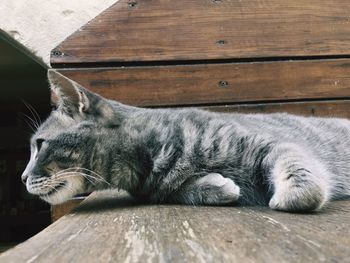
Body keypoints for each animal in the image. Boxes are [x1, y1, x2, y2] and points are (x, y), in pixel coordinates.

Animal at [21, 70, 350, 212]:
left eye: (40, 144)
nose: (22, 177)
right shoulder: (159, 190)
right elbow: (185, 191)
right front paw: (216, 187)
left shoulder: (268, 144)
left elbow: (297, 168)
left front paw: (292, 196)